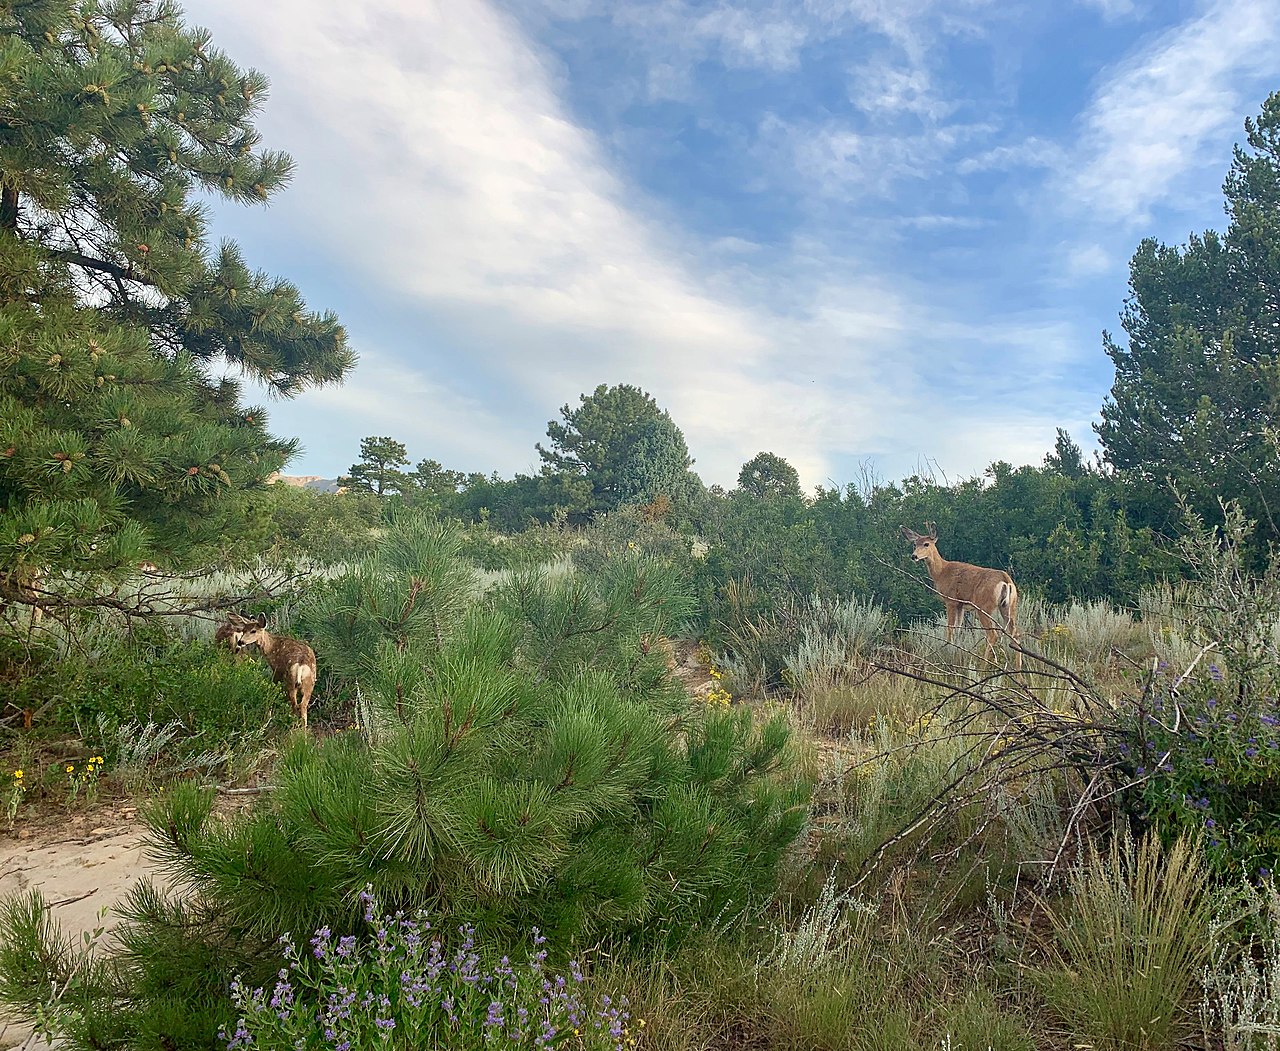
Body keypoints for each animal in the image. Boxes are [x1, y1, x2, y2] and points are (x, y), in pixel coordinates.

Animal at [900, 523, 1022, 671]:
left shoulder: (951, 600)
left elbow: (950, 630)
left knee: (993, 635)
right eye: (914, 544)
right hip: (1009, 606)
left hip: (984, 607)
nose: (914, 556)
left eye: (926, 544)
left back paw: (982, 667)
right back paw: (1018, 670)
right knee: (1016, 635)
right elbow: (958, 630)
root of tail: (1006, 580)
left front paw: (947, 653)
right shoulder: (960, 604)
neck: (941, 572)